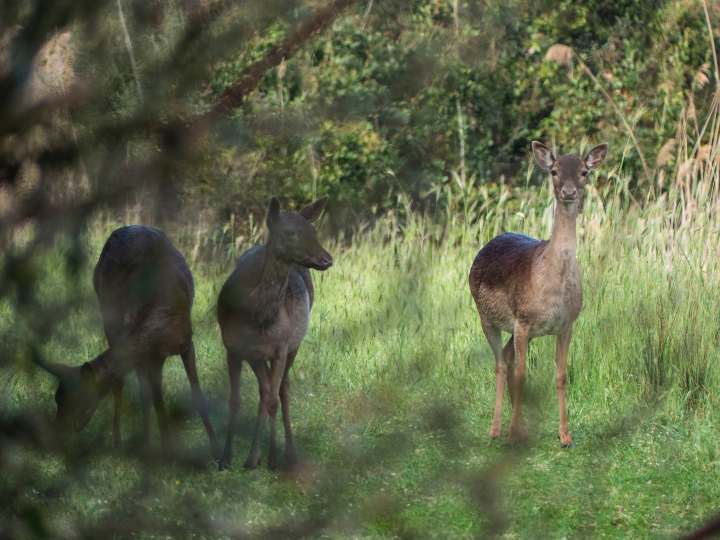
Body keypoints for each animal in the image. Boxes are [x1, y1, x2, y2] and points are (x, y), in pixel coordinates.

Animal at [35, 224, 219, 456]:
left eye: (79, 401)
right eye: (57, 398)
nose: (57, 433)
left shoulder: (185, 342)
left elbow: (194, 392)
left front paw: (215, 448)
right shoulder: (149, 354)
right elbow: (152, 395)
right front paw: (164, 447)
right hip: (109, 315)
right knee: (125, 382)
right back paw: (123, 441)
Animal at [218, 196, 334, 470]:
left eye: (313, 230)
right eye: (290, 232)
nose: (326, 259)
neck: (256, 315)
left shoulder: (281, 346)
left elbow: (274, 397)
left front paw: (272, 458)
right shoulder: (232, 346)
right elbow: (235, 400)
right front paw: (225, 457)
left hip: (293, 344)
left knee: (281, 390)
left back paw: (286, 453)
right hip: (257, 356)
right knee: (265, 389)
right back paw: (253, 457)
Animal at [466, 141, 608, 446]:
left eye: (584, 172)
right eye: (554, 171)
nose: (569, 192)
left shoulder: (566, 324)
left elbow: (561, 375)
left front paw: (565, 436)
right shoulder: (522, 319)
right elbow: (522, 375)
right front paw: (511, 435)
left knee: (506, 358)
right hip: (486, 317)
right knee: (500, 364)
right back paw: (496, 430)